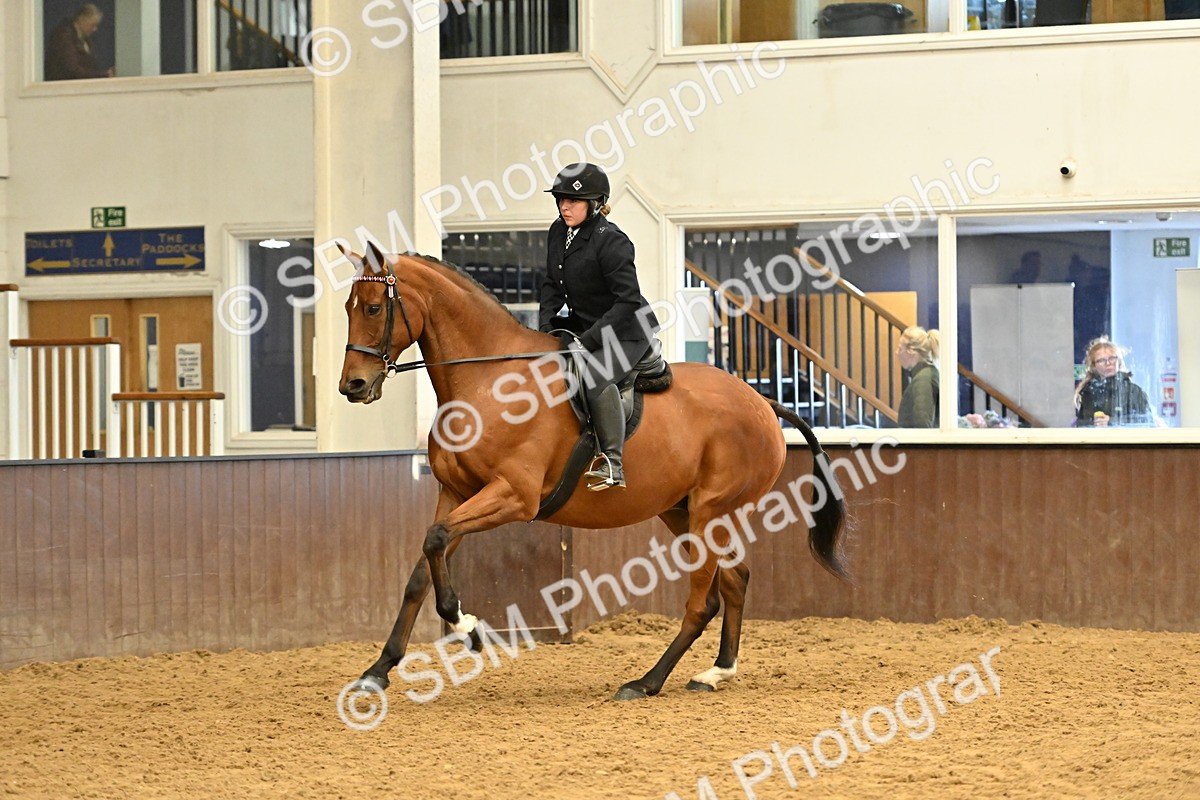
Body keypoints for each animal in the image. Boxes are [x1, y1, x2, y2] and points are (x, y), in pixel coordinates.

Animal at [338, 242, 848, 701]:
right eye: (348, 307)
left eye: (374, 307)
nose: (352, 386)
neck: (488, 382)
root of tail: (761, 401)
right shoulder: (457, 493)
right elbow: (423, 567)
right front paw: (379, 669)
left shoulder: (512, 496)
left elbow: (437, 540)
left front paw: (469, 627)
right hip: (684, 512)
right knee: (736, 578)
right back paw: (717, 672)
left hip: (712, 510)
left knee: (704, 600)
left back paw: (646, 682)